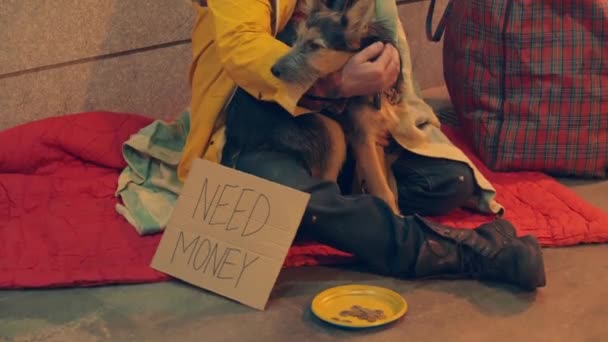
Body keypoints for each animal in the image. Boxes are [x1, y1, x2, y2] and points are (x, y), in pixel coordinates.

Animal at [270, 0, 422, 214]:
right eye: (296, 39)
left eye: (314, 45)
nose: (273, 70)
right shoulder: (362, 137)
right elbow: (383, 190)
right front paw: (393, 213)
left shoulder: (373, 135)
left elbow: (382, 180)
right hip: (333, 133)